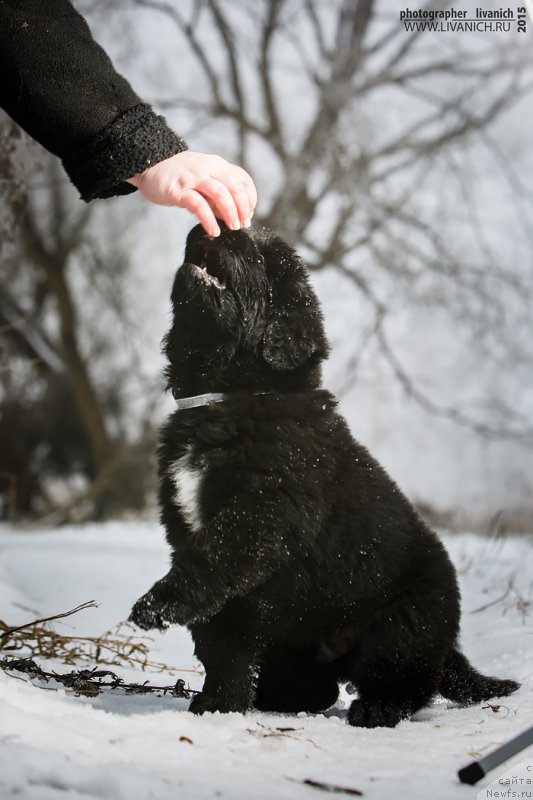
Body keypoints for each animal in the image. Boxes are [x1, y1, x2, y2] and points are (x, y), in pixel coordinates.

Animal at [130, 223, 520, 724]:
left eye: (260, 258)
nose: (208, 226)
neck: (230, 397)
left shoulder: (263, 513)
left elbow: (211, 560)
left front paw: (158, 606)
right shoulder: (191, 528)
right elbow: (222, 637)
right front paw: (220, 703)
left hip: (404, 624)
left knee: (408, 682)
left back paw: (377, 709)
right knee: (319, 690)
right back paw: (279, 700)